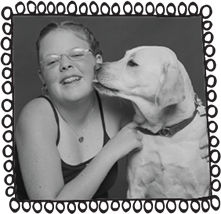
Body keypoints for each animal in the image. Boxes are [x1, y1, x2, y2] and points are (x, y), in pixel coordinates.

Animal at [92, 46, 210, 198]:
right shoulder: (135, 187)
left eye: (132, 63)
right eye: (124, 57)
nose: (95, 66)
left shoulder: (200, 190)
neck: (162, 132)